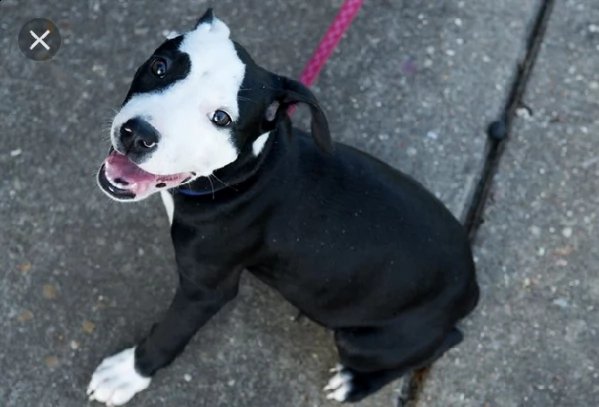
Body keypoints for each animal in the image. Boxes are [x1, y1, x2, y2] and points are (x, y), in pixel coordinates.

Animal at [89, 9, 480, 407]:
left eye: (221, 118)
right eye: (159, 67)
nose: (137, 134)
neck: (247, 171)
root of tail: (471, 287)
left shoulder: (205, 290)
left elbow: (170, 333)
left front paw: (128, 374)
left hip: (361, 339)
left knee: (445, 342)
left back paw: (353, 383)